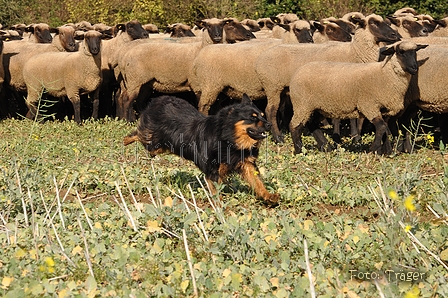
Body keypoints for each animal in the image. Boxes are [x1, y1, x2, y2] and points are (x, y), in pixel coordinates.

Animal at [124, 94, 278, 206]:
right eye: (252, 118)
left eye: (262, 115)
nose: (269, 125)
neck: (230, 139)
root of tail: (158, 99)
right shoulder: (213, 170)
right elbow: (216, 191)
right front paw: (220, 208)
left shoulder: (246, 164)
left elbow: (257, 182)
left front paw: (269, 196)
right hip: (154, 143)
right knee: (139, 134)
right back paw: (125, 140)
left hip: (162, 147)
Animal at [254, 13, 400, 143]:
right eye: (373, 23)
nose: (395, 35)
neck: (354, 52)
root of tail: (261, 58)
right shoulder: (338, 86)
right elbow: (340, 116)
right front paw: (342, 137)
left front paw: (355, 136)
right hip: (272, 86)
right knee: (270, 111)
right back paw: (278, 137)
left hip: (283, 89)